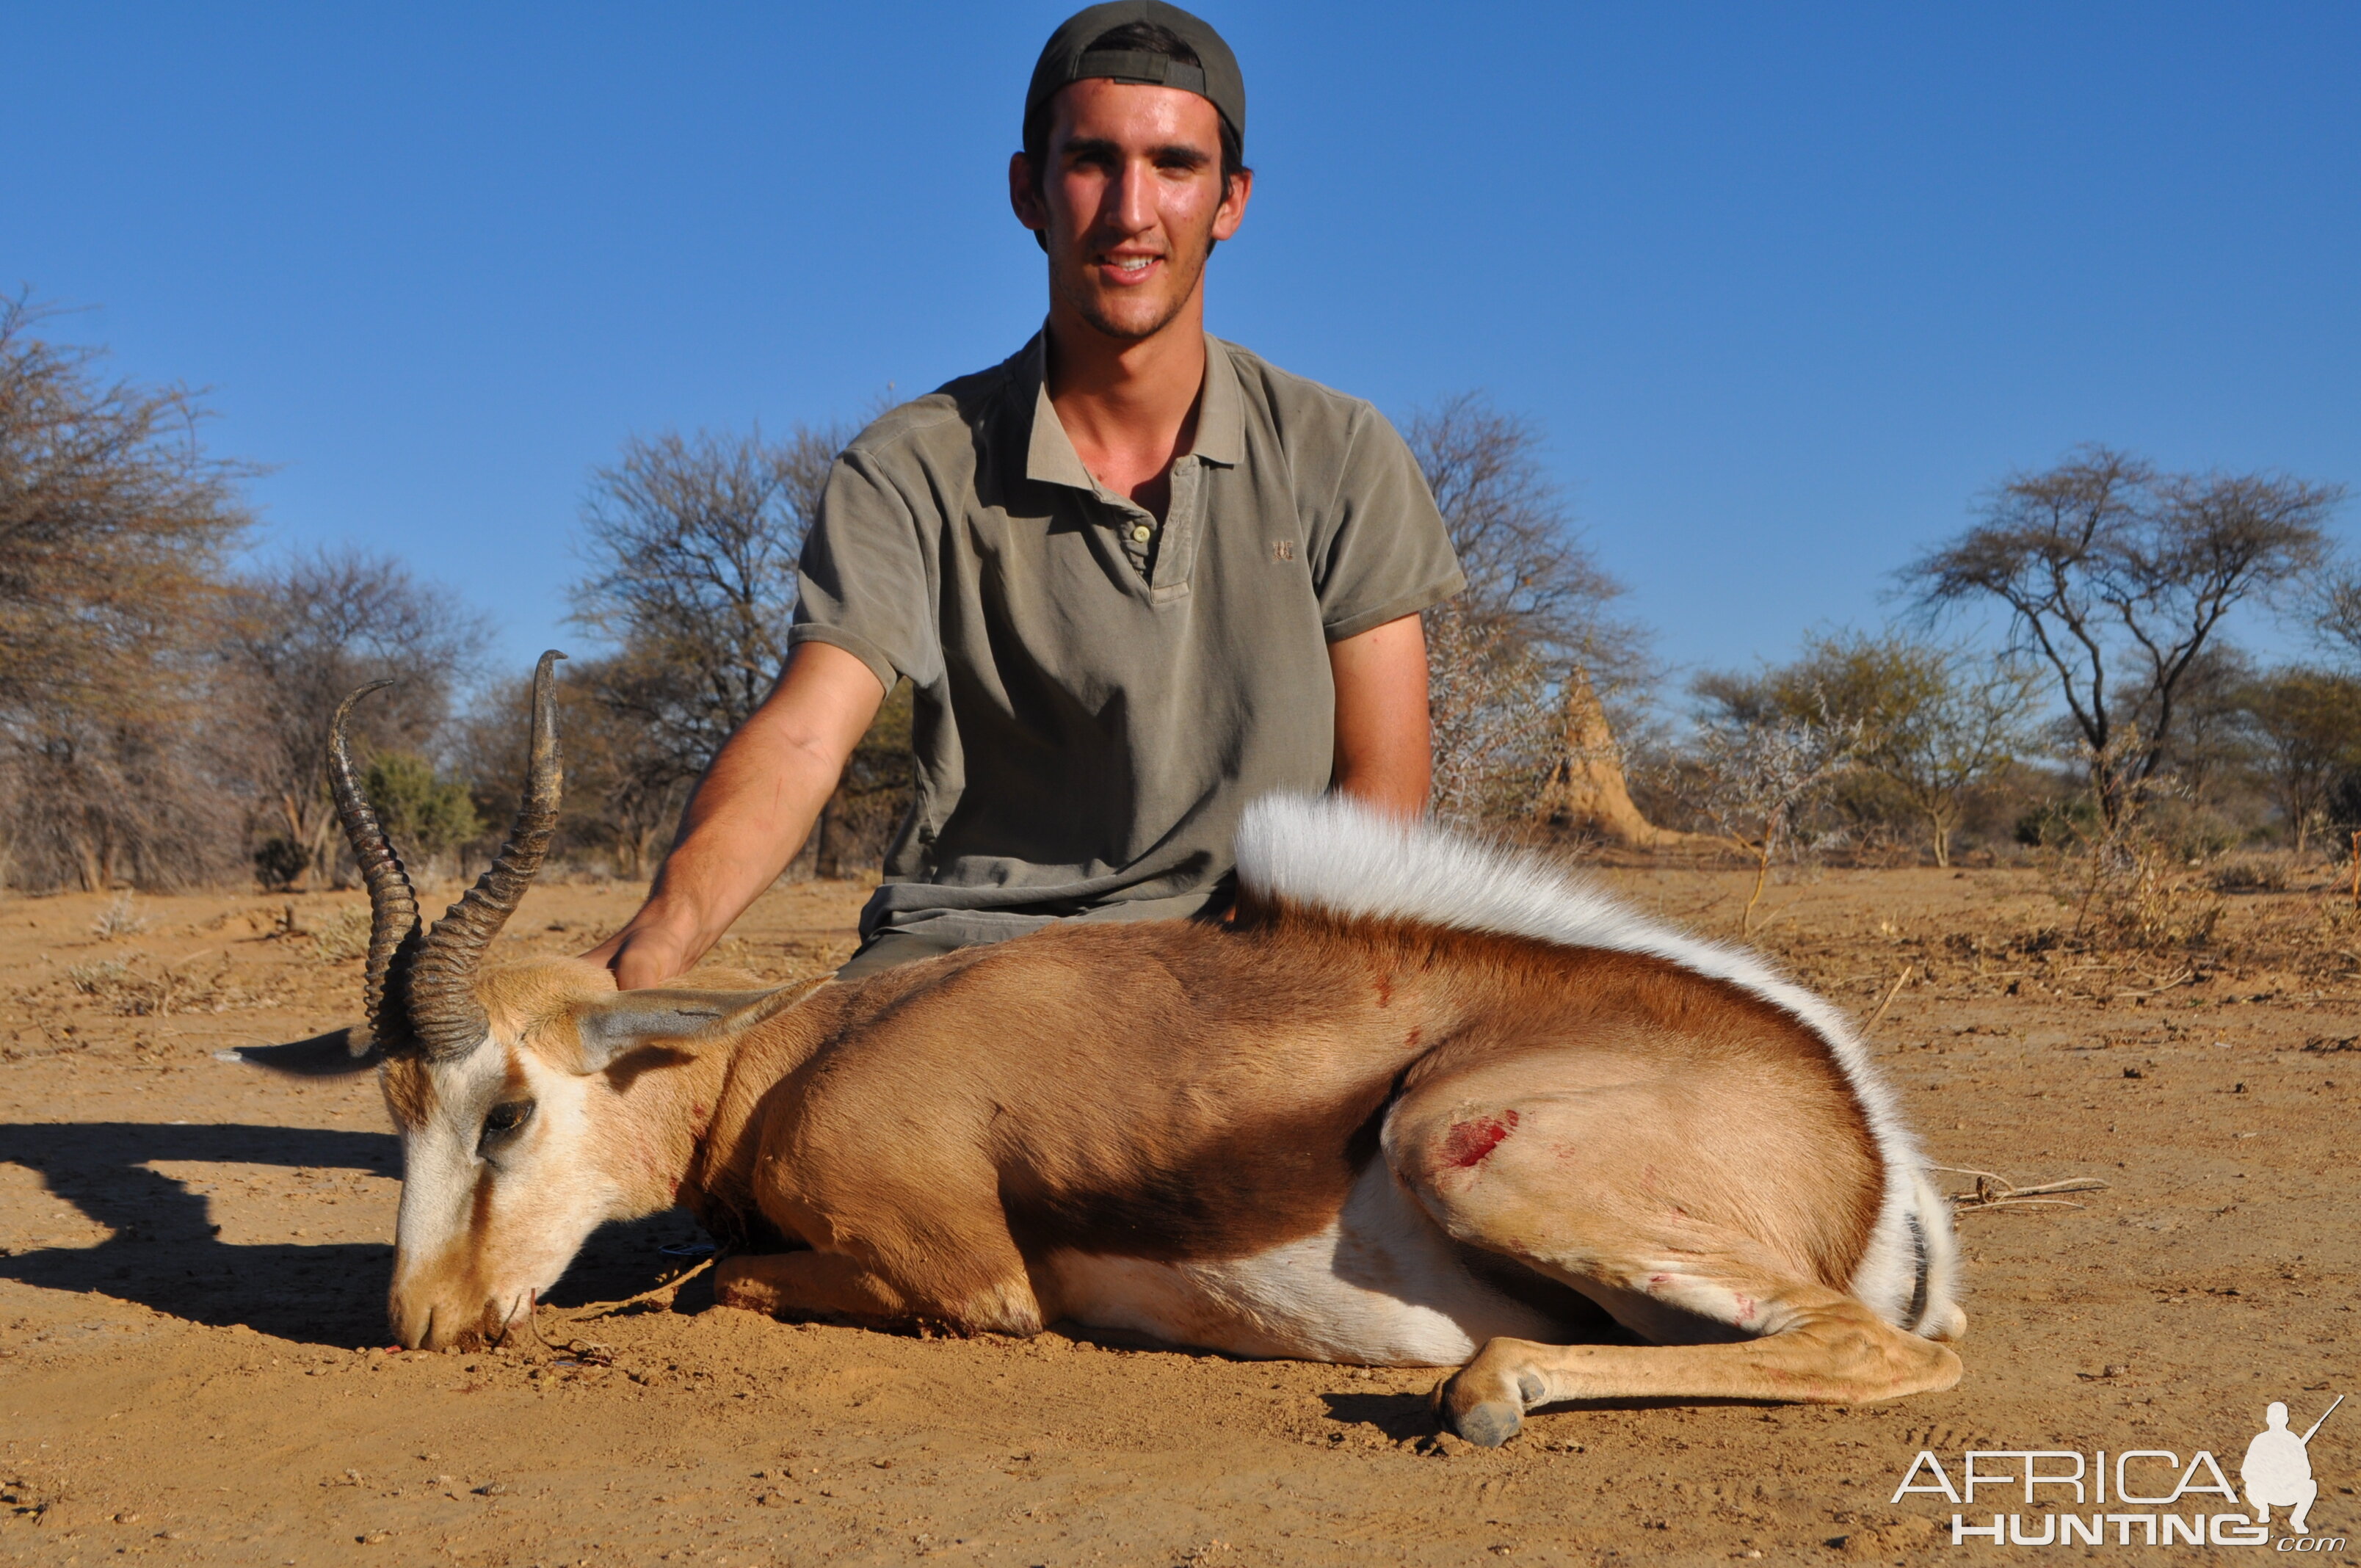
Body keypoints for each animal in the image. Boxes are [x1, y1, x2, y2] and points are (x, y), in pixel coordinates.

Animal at [286, 647, 1964, 1445]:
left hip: (1466, 1152)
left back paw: (1483, 1396)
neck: (791, 1060)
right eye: (391, 1112)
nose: (421, 1323)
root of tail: (1865, 1140)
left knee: (1893, 1357)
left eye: (506, 1110)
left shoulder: (979, 1288)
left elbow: (718, 1282)